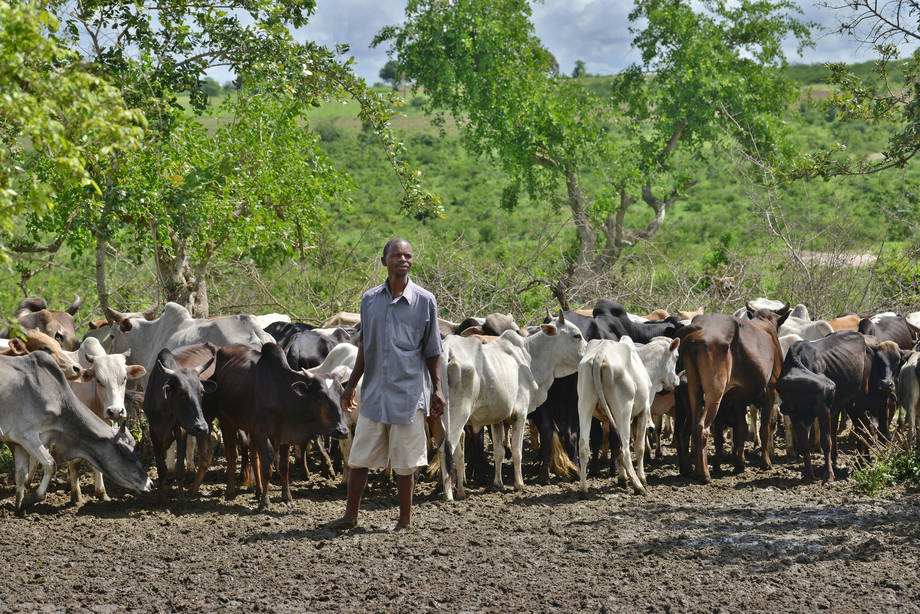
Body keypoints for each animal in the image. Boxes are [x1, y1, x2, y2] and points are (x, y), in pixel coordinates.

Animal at [63, 340, 146, 502]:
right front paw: (77, 496)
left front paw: (102, 493)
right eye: (99, 380)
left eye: (124, 378)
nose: (115, 411)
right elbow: (75, 462)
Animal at [205, 344, 348, 512]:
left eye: (342, 394)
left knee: (253, 456)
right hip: (226, 420)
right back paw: (230, 492)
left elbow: (284, 467)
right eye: (321, 395)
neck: (281, 393)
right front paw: (265, 503)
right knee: (232, 455)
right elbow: (267, 468)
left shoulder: (285, 434)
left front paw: (287, 498)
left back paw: (258, 491)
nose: (342, 430)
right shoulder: (262, 432)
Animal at [676, 306, 792, 484]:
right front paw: (765, 462)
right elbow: (764, 428)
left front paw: (739, 463)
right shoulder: (770, 392)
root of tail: (698, 331)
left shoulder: (738, 397)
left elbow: (741, 429)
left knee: (690, 430)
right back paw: (704, 474)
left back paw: (692, 470)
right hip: (714, 393)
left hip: (695, 391)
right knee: (702, 428)